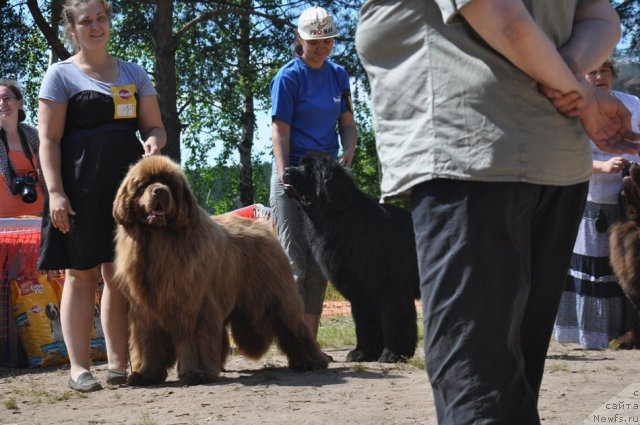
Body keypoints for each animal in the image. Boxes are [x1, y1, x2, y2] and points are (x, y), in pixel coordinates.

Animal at [112, 155, 330, 384]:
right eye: (144, 184)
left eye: (169, 183)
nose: (160, 191)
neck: (160, 240)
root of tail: (264, 228)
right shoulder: (146, 312)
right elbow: (148, 343)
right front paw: (146, 374)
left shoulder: (194, 305)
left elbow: (194, 339)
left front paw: (196, 373)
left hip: (276, 297)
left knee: (294, 327)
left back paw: (311, 361)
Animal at [284, 152, 420, 362]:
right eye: (300, 164)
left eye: (310, 169)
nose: (286, 170)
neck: (340, 218)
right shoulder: (361, 292)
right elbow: (365, 325)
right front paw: (362, 352)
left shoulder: (392, 289)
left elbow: (395, 321)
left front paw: (393, 354)